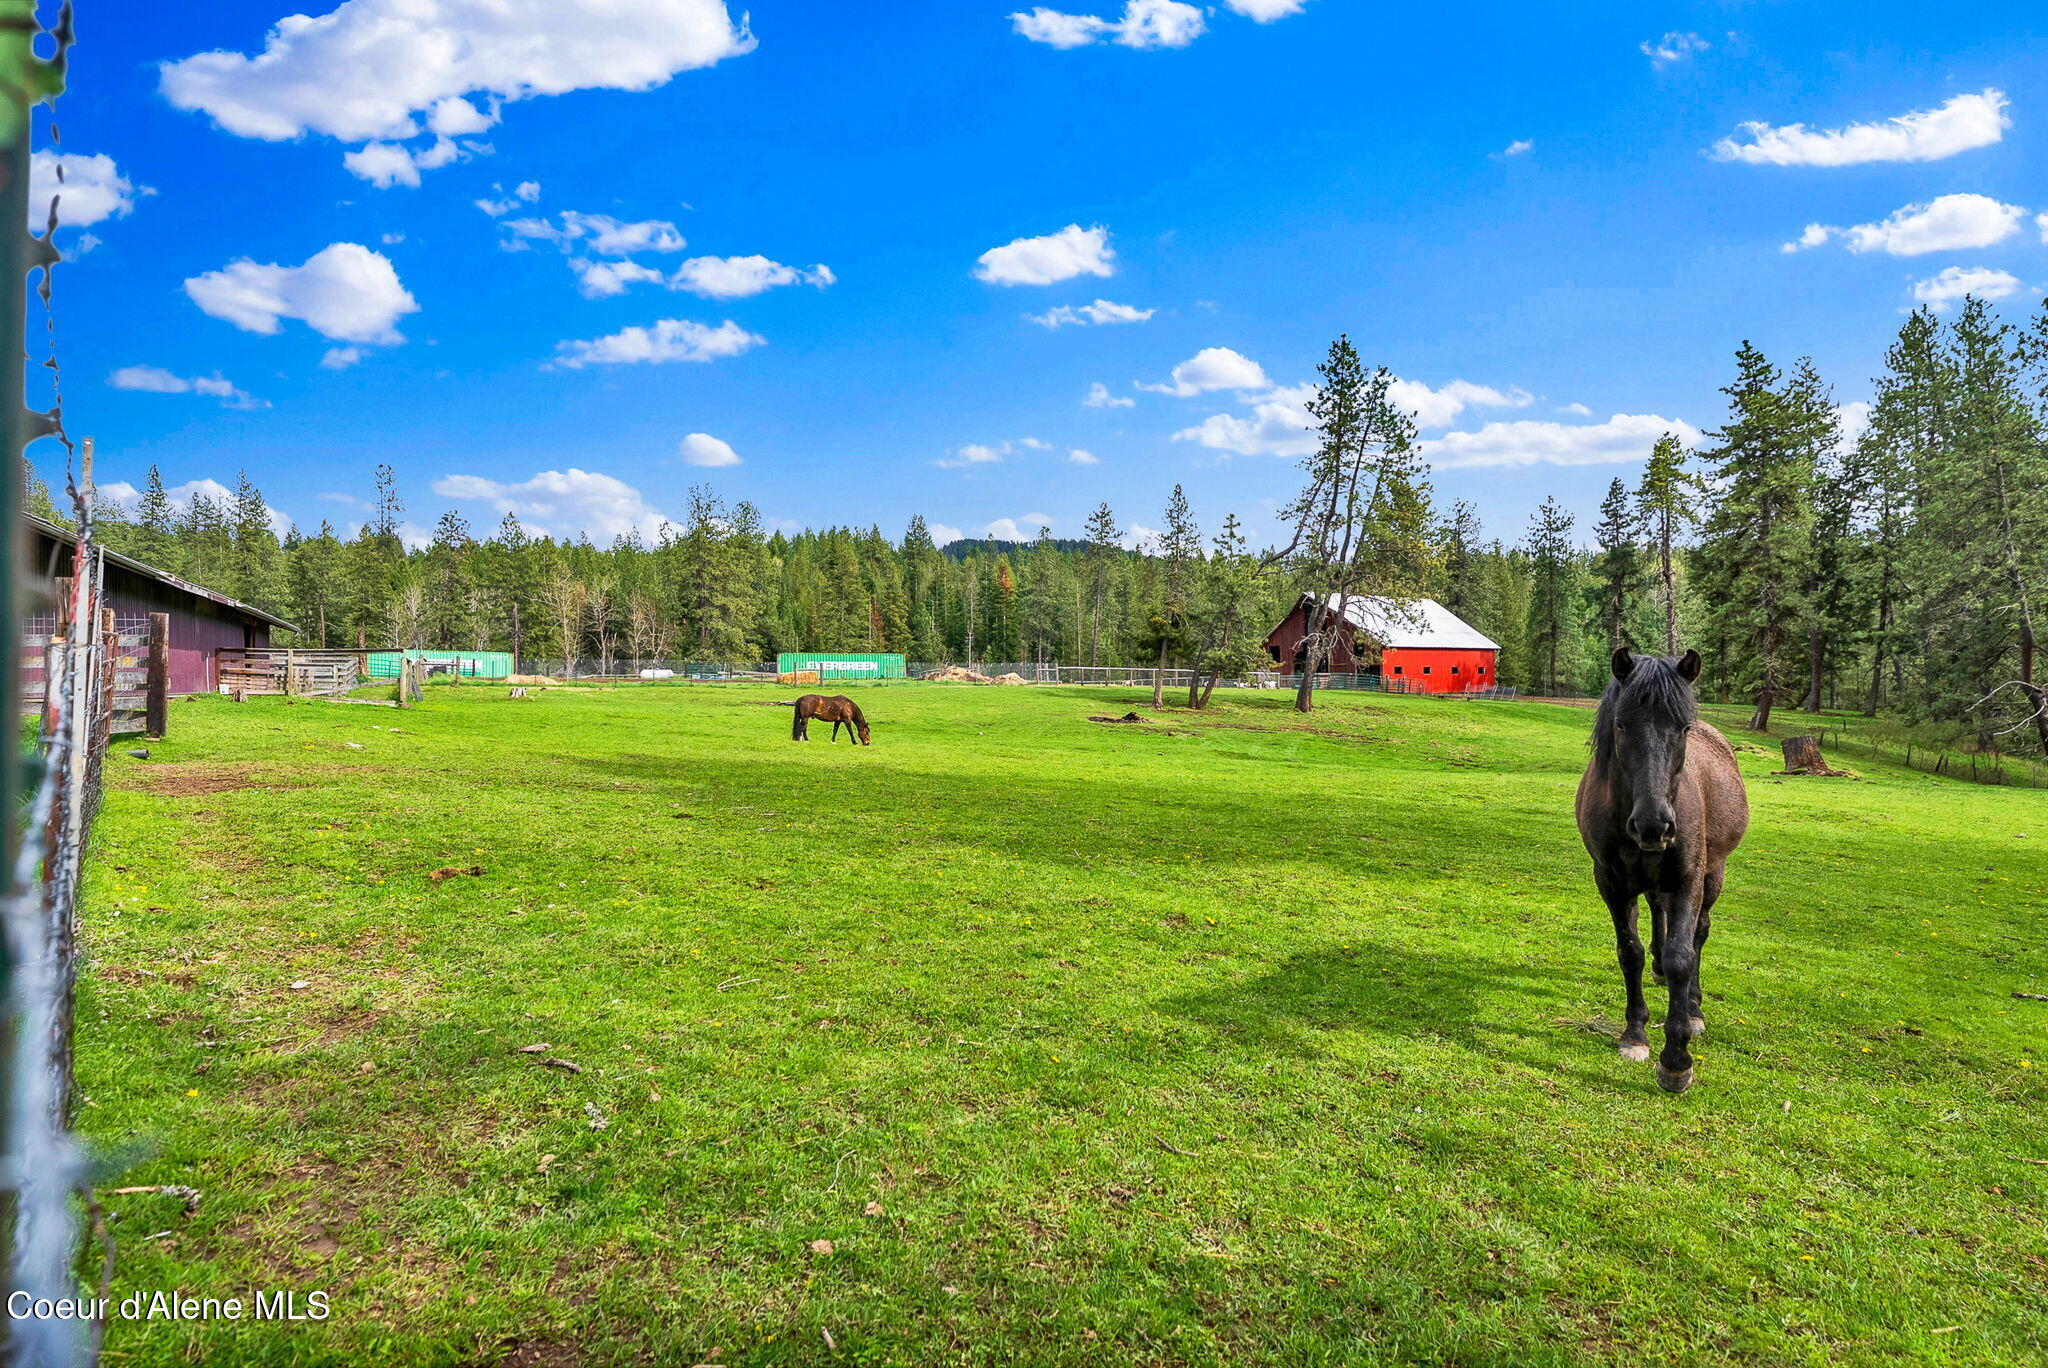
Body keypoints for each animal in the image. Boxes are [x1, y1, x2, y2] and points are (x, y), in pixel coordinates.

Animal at [1575, 648, 1749, 1093]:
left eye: (1683, 727)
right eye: (1621, 723)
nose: (1653, 825)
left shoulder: (1688, 879)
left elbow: (1681, 957)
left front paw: (1676, 1060)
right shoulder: (1611, 882)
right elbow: (1630, 952)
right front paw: (1635, 1033)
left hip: (1713, 875)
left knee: (1699, 933)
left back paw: (1694, 1007)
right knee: (1657, 913)